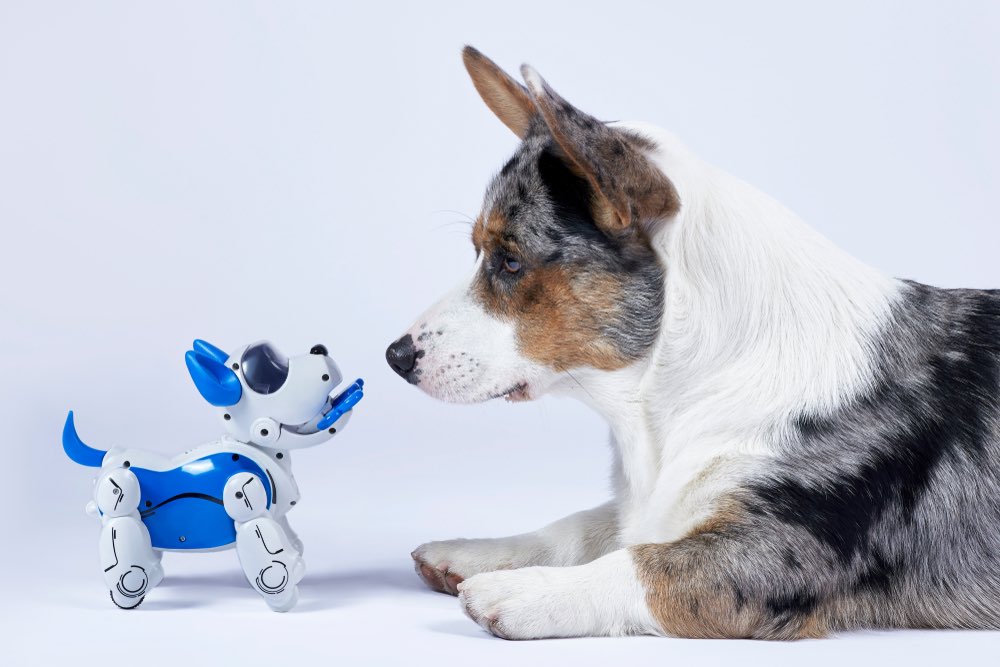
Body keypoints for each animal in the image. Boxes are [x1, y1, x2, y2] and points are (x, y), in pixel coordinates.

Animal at [61, 342, 364, 612]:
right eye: (266, 377)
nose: (319, 349)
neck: (257, 450)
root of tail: (109, 457)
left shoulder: (278, 515)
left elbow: (289, 539)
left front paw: (296, 564)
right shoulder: (244, 491)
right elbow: (264, 549)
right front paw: (282, 599)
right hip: (120, 496)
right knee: (122, 536)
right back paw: (130, 593)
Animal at [384, 47, 1000, 640]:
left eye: (510, 261)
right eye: (480, 253)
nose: (394, 357)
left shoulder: (775, 551)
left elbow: (638, 562)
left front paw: (520, 591)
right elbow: (587, 524)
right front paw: (478, 553)